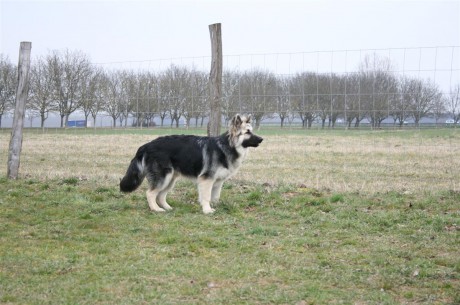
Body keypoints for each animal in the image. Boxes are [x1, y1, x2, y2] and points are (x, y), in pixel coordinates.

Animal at [118, 114, 262, 214]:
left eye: (252, 131)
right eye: (247, 132)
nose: (262, 139)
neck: (227, 146)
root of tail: (146, 146)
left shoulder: (218, 182)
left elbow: (215, 197)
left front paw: (215, 207)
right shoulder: (206, 180)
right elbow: (206, 197)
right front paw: (207, 210)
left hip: (170, 179)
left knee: (161, 195)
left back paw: (167, 207)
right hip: (164, 177)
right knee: (150, 193)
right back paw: (156, 209)